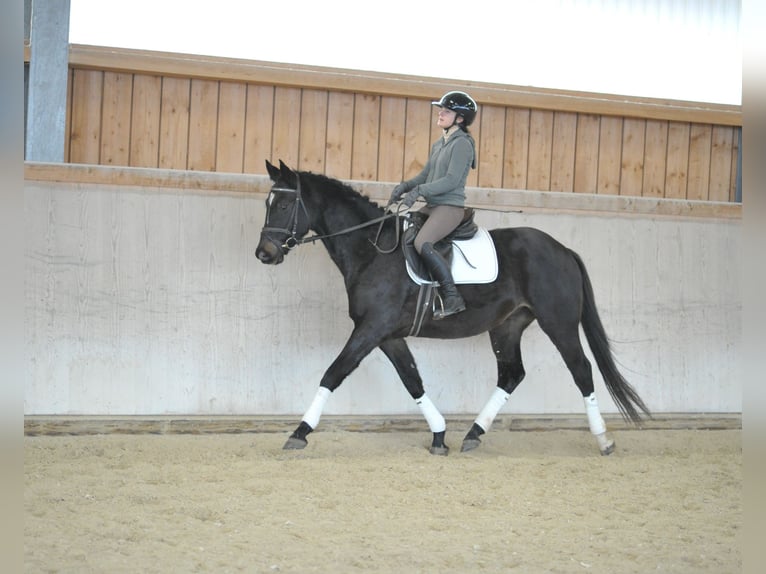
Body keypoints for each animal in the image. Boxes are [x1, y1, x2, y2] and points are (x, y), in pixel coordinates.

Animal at [258, 160, 656, 456]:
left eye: (283, 205)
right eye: (267, 204)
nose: (265, 253)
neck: (372, 249)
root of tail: (563, 250)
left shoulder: (371, 329)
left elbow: (333, 373)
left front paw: (299, 432)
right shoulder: (387, 335)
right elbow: (412, 381)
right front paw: (439, 435)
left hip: (558, 322)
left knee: (581, 370)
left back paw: (603, 439)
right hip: (508, 325)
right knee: (512, 375)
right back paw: (473, 434)